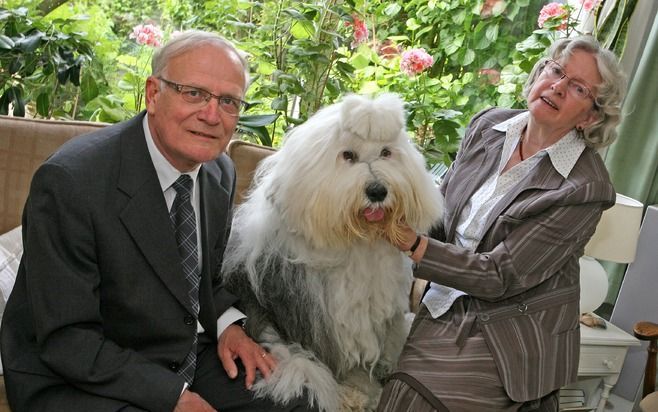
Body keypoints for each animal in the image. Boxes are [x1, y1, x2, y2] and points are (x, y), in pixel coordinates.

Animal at [223, 94, 444, 412]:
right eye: (348, 155)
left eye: (386, 153)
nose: (377, 191)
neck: (356, 240)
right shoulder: (316, 319)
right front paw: (354, 393)